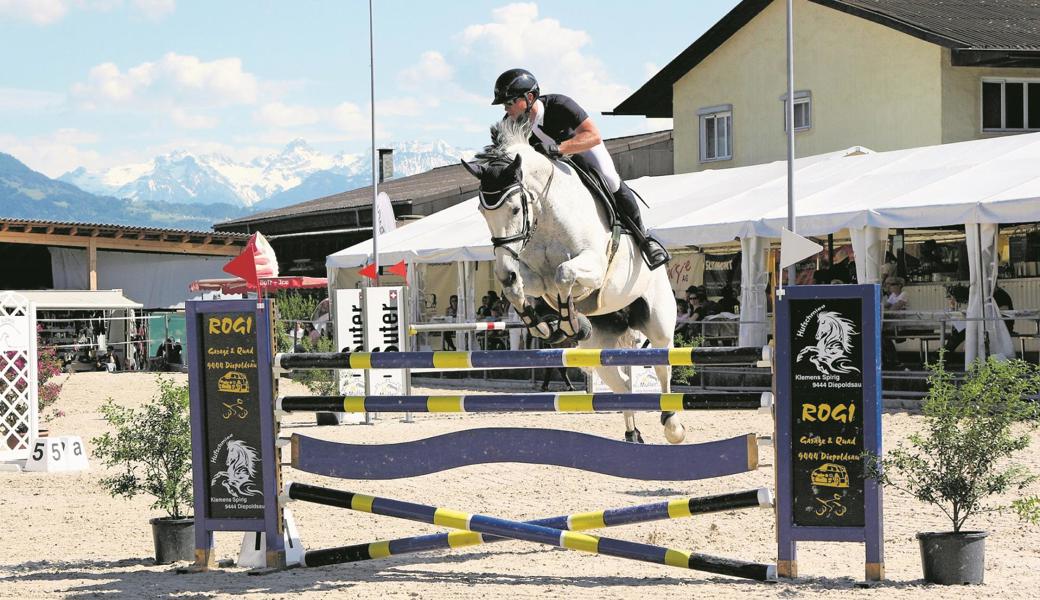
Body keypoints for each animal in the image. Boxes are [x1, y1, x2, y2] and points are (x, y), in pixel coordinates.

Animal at [463, 118, 682, 445]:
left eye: (515, 209)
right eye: (482, 212)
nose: (504, 268)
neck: (546, 214)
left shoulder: (593, 266)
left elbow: (563, 273)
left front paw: (570, 324)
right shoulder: (533, 277)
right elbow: (521, 288)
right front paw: (546, 325)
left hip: (658, 322)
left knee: (662, 365)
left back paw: (672, 425)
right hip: (599, 348)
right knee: (622, 384)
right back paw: (633, 434)